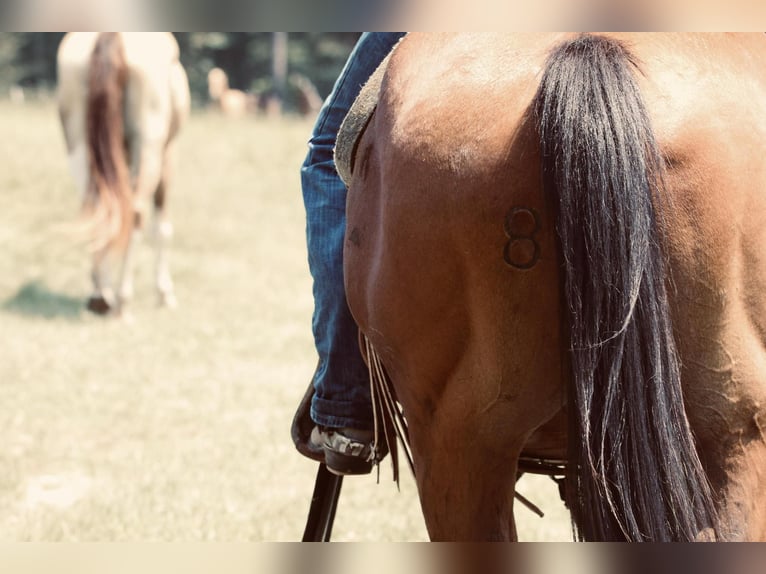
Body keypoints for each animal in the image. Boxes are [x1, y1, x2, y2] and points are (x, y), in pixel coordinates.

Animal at [56, 33, 190, 318]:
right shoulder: (168, 153)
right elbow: (162, 227)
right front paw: (165, 293)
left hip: (80, 147)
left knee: (97, 212)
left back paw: (100, 297)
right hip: (149, 148)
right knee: (135, 213)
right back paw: (123, 300)